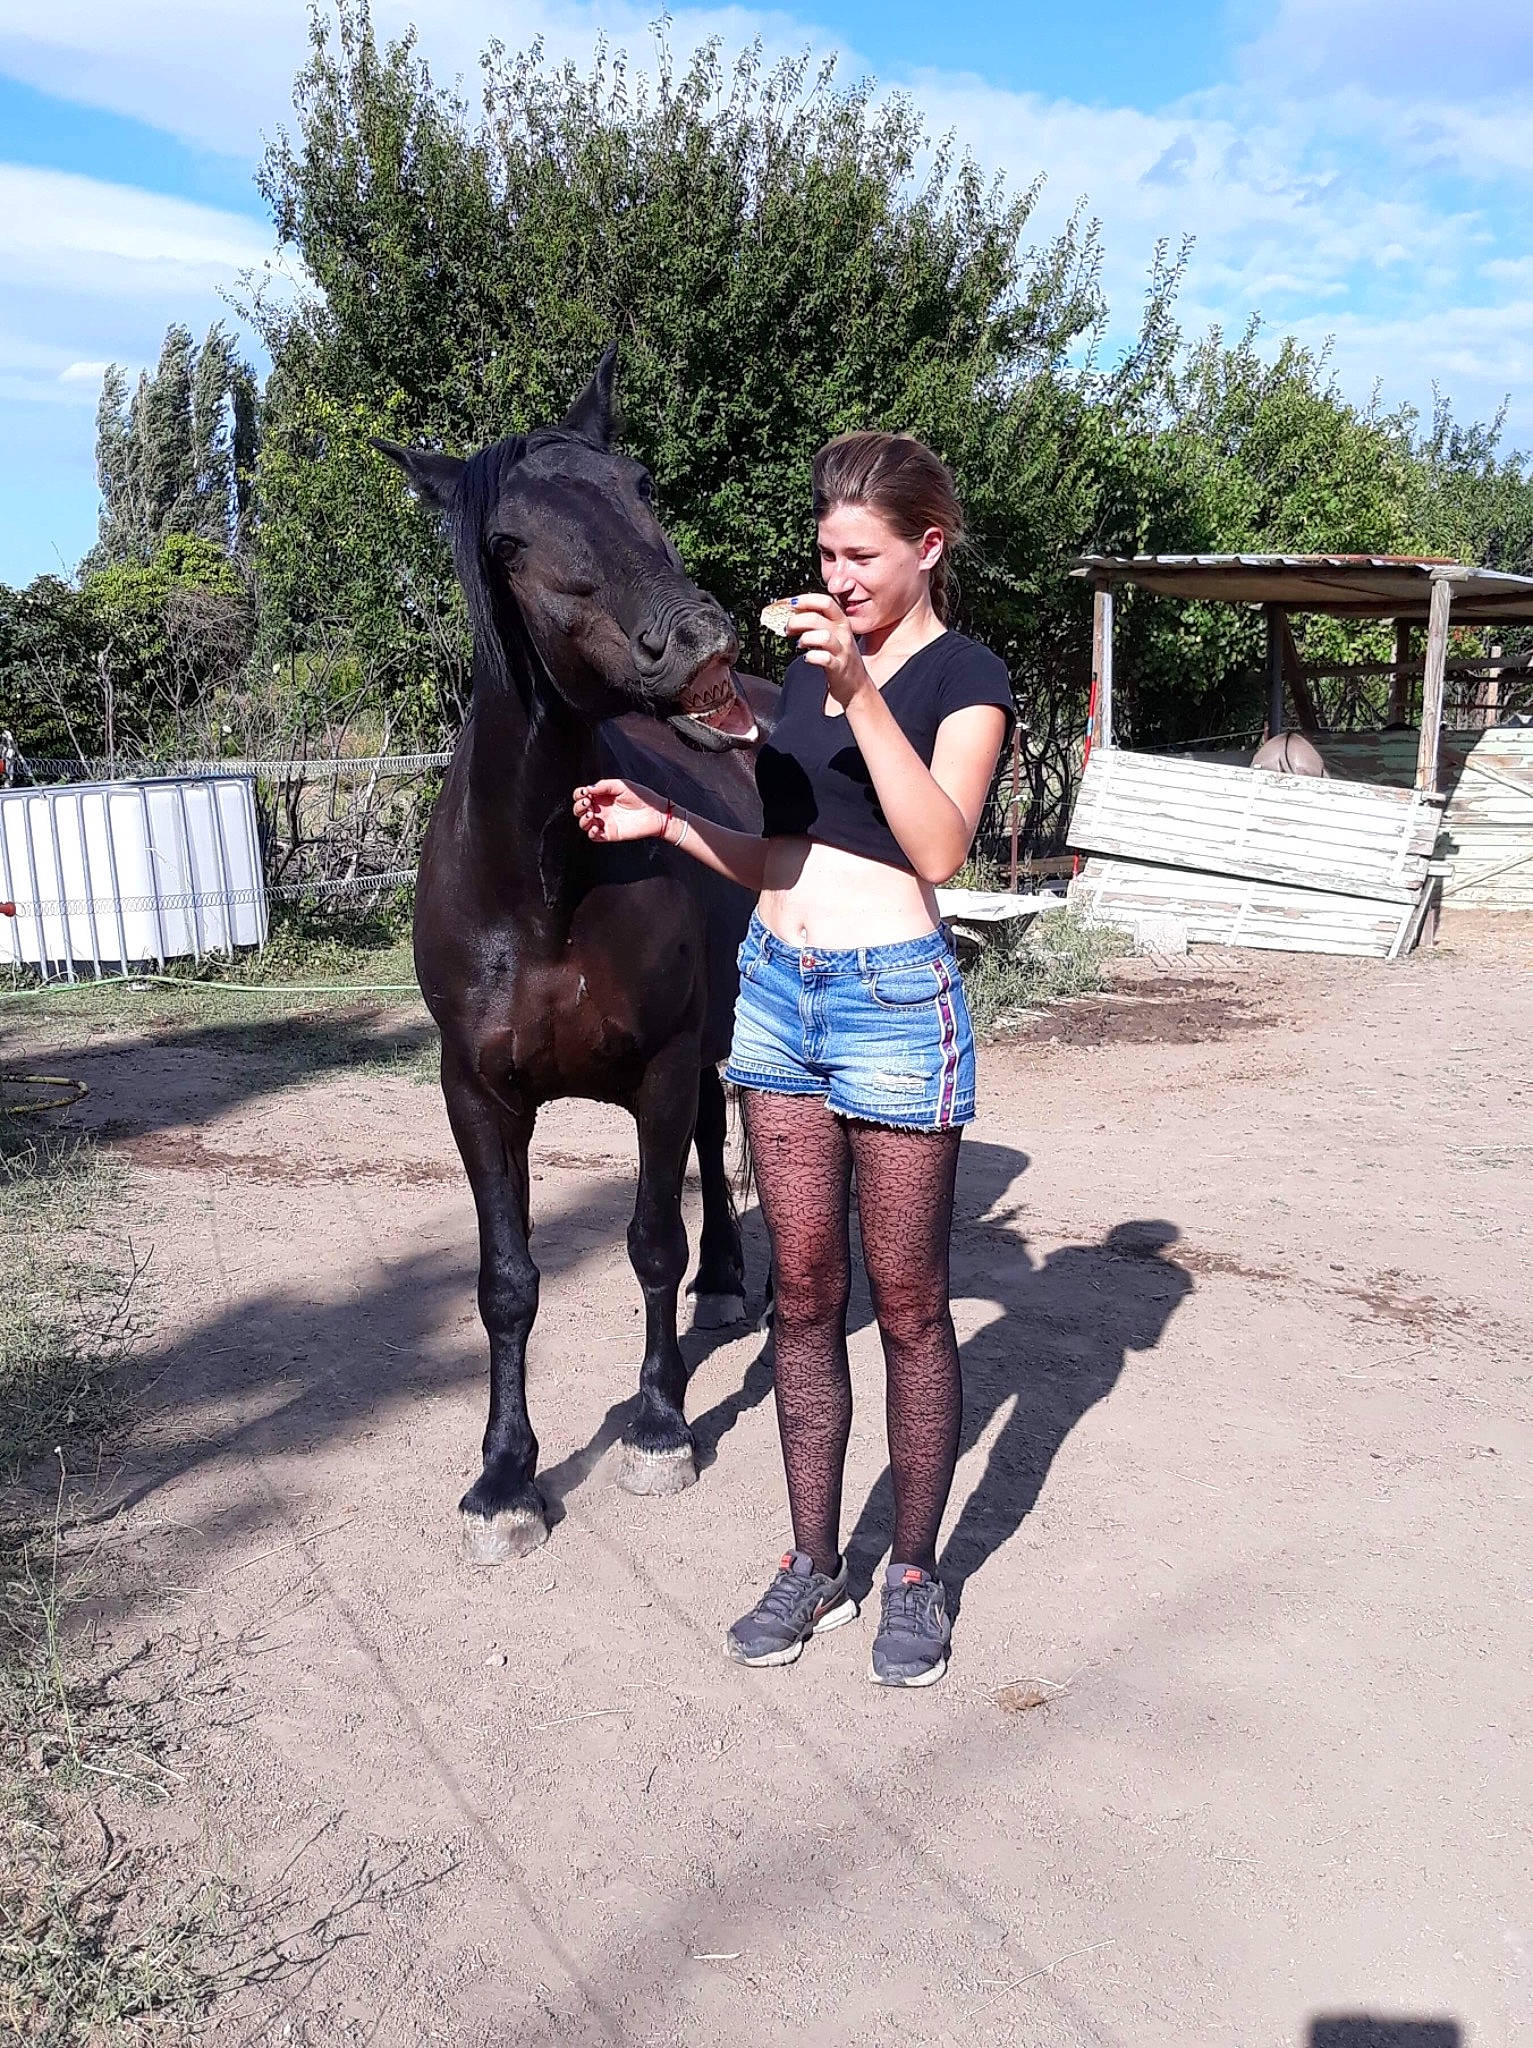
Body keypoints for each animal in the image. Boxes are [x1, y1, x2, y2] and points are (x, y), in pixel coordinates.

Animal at [375, 347, 771, 1565]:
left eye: (639, 484)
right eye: (505, 541)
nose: (696, 640)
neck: (545, 884)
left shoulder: (658, 1063)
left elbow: (648, 1242)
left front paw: (656, 1425)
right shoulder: (477, 1093)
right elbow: (506, 1284)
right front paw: (505, 1480)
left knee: (711, 1141)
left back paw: (726, 1285)